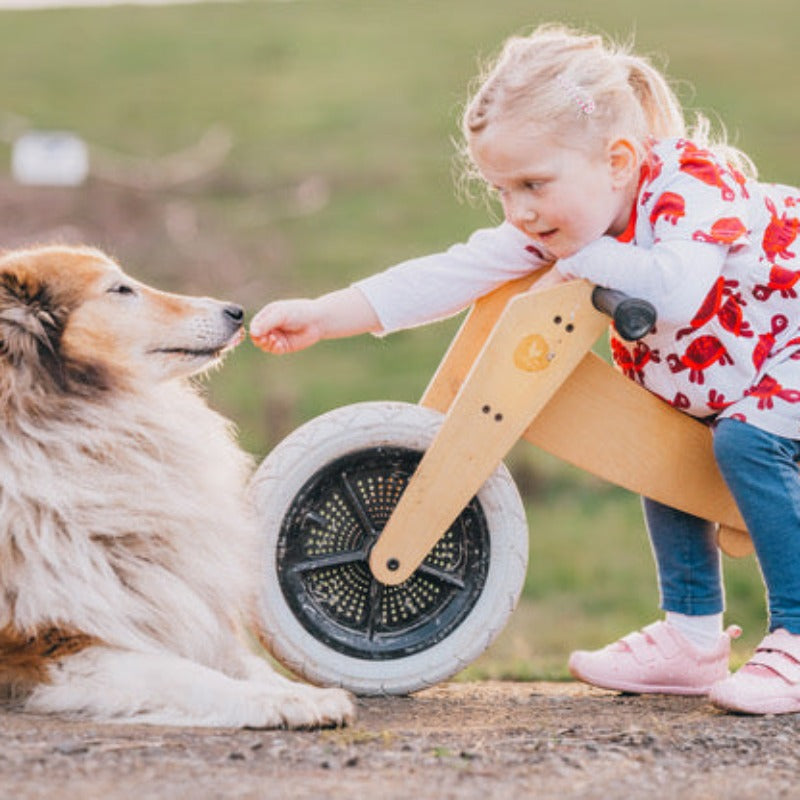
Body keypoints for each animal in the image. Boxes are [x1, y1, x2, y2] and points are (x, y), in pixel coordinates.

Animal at [0, 247, 354, 728]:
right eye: (120, 289)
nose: (236, 311)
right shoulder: (57, 645)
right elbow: (186, 674)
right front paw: (288, 702)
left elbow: (240, 661)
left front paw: (298, 690)